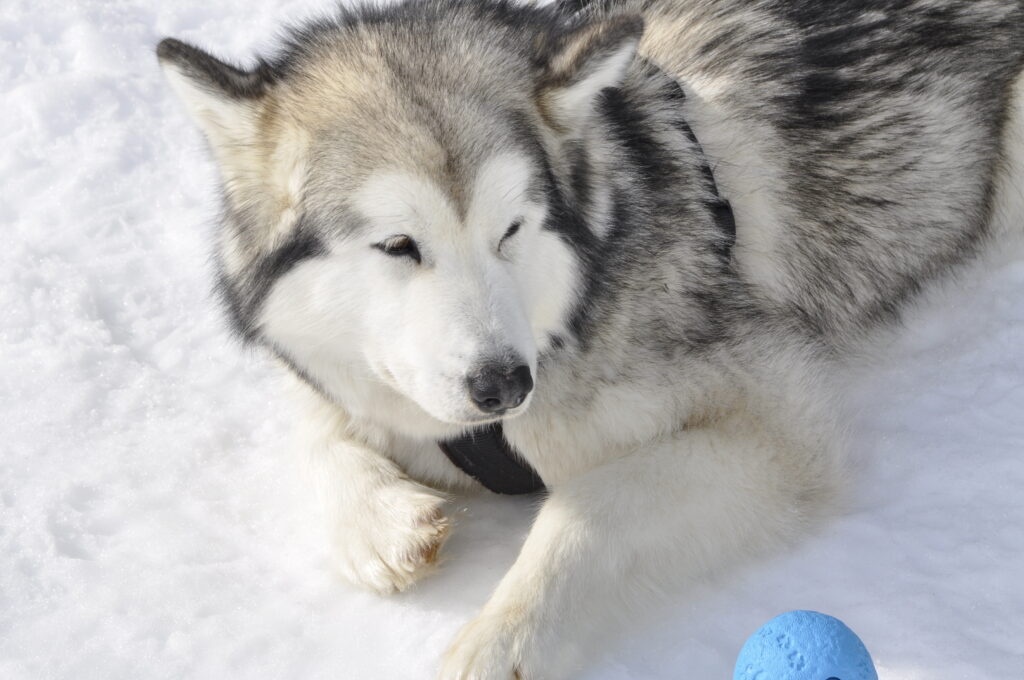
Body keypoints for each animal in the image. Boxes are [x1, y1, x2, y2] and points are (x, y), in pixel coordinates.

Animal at [153, 1, 1024, 675]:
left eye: (511, 230)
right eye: (399, 245)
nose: (503, 383)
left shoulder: (779, 422)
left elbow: (592, 502)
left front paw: (504, 638)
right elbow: (315, 421)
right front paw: (376, 520)